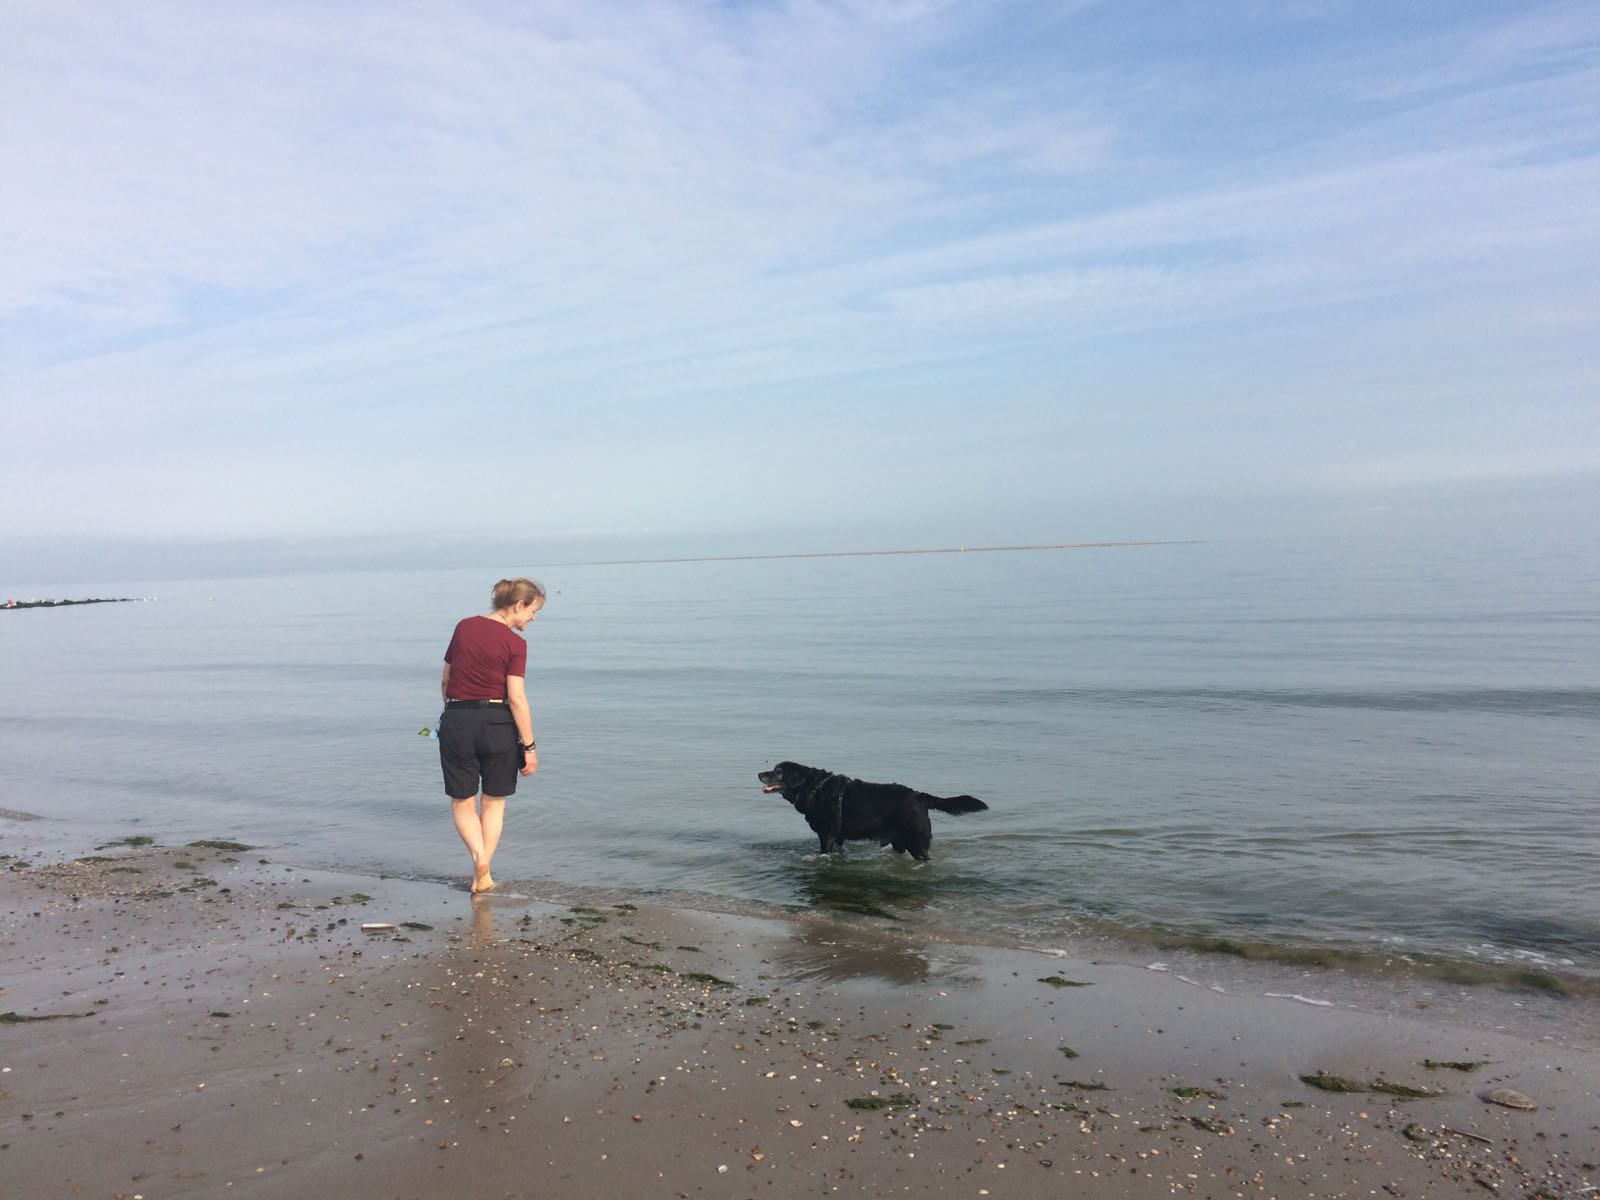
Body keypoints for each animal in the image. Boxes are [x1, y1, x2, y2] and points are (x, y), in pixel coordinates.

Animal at [752, 761, 985, 864]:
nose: (759, 773)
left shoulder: (826, 834)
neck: (814, 788)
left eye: (778, 772)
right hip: (901, 841)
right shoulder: (838, 837)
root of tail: (918, 795)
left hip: (916, 840)